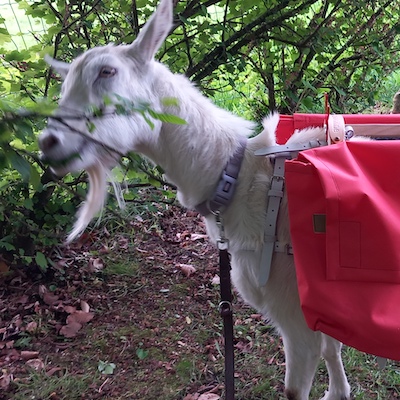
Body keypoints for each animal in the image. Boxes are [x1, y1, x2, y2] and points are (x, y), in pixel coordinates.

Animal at [37, 0, 350, 400]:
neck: (241, 178)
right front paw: (339, 391)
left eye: (107, 71)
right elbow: (332, 346)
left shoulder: (294, 309)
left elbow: (298, 384)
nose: (48, 142)